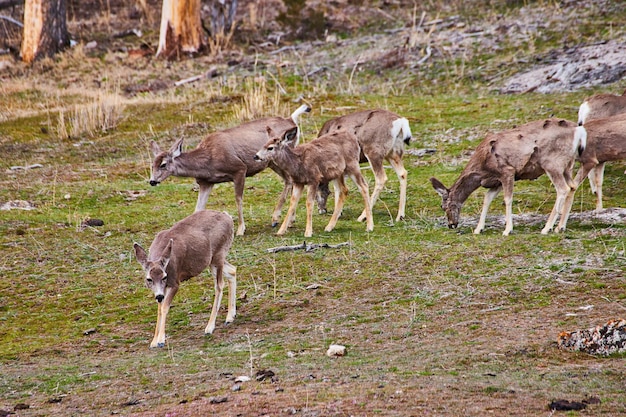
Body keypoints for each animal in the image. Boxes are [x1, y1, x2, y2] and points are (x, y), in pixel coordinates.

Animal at [133, 208, 235, 348]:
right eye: (149, 279)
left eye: (164, 277)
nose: (158, 296)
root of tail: (228, 217)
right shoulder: (161, 290)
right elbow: (159, 309)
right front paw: (153, 341)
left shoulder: (174, 282)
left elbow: (164, 307)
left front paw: (161, 340)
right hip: (212, 260)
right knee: (233, 270)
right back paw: (230, 317)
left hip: (218, 254)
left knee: (219, 285)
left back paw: (209, 327)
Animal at [149, 103, 310, 234]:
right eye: (152, 165)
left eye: (163, 164)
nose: (152, 181)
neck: (208, 160)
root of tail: (291, 119)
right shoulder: (206, 182)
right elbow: (198, 208)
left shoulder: (239, 169)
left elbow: (238, 198)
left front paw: (240, 229)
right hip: (272, 163)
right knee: (289, 181)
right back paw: (288, 220)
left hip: (278, 158)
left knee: (289, 180)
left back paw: (277, 219)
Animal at [426, 118, 584, 234]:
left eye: (443, 206)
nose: (451, 224)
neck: (482, 170)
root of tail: (578, 131)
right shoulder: (496, 181)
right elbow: (487, 199)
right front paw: (478, 229)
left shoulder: (507, 171)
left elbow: (508, 199)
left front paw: (508, 230)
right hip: (567, 166)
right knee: (572, 186)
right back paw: (560, 227)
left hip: (552, 163)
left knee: (563, 189)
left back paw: (547, 228)